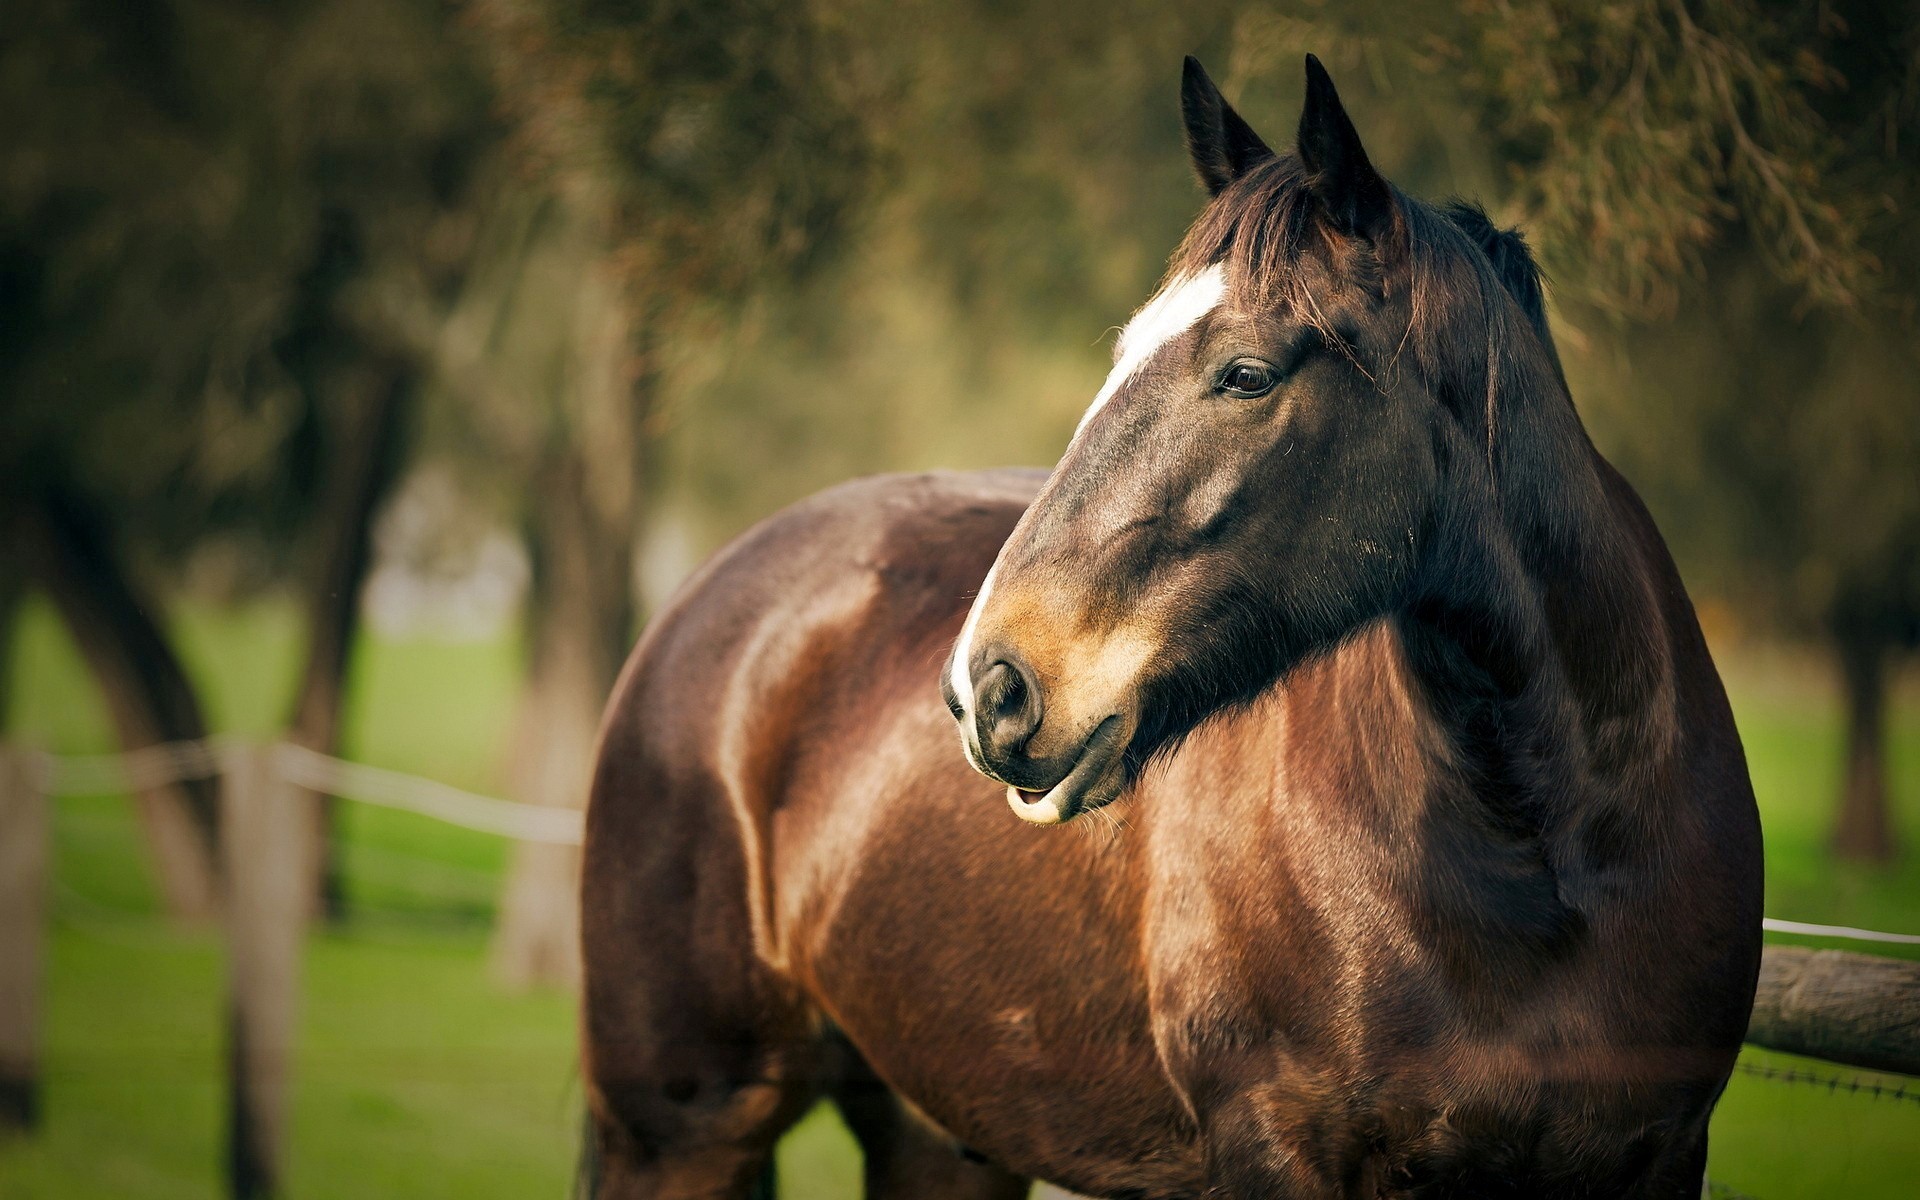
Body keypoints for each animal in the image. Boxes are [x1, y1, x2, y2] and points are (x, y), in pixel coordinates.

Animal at [579, 55, 1763, 1199]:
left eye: (1245, 373)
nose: (989, 689)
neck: (1551, 867)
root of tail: (705, 601)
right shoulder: (1279, 1148)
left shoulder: (1660, 1156)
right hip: (680, 1135)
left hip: (940, 1142)